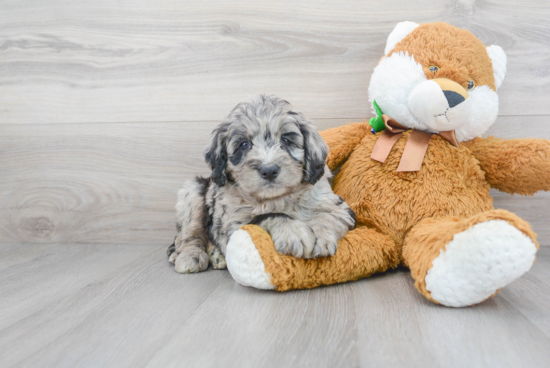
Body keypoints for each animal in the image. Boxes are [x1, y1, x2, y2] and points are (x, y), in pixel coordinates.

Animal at [168, 95, 358, 274]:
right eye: (244, 144)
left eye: (286, 140)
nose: (269, 170)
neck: (276, 198)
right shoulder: (232, 226)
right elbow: (267, 216)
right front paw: (294, 232)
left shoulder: (338, 207)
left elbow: (326, 217)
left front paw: (319, 236)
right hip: (192, 192)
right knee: (189, 235)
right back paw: (190, 257)